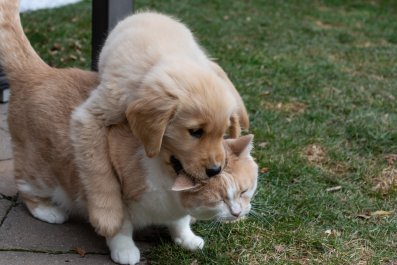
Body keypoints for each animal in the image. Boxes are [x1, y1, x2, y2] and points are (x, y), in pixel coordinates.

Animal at [68, 11, 248, 235]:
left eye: (222, 133)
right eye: (195, 132)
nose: (215, 170)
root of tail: (151, 13)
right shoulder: (91, 116)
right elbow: (98, 168)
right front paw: (107, 215)